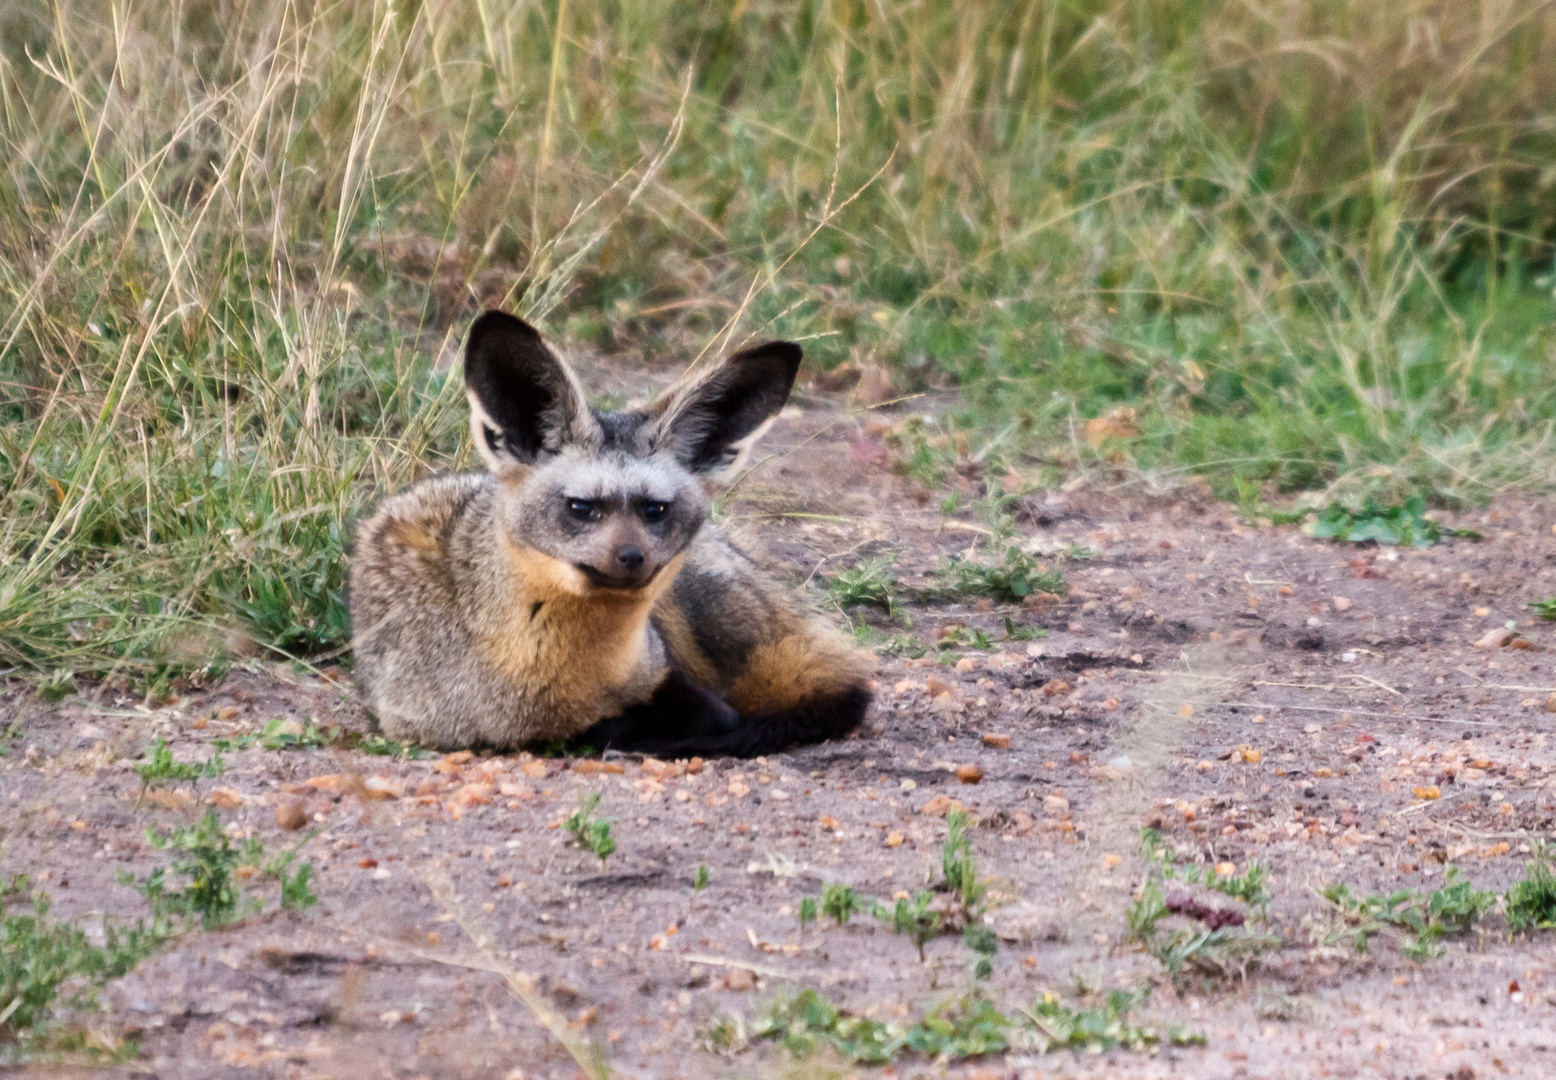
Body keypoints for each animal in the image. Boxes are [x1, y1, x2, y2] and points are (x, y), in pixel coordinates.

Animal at [345, 308, 871, 756]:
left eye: (656, 510)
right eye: (581, 508)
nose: (632, 557)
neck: (548, 684)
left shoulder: (662, 674)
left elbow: (711, 714)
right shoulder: (418, 722)